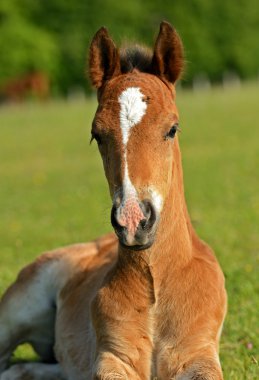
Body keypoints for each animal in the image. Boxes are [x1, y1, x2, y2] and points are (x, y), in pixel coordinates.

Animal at [0, 21, 228, 380]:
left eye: (172, 129)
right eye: (97, 135)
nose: (134, 221)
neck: (156, 288)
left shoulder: (197, 353)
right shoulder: (113, 357)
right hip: (15, 313)